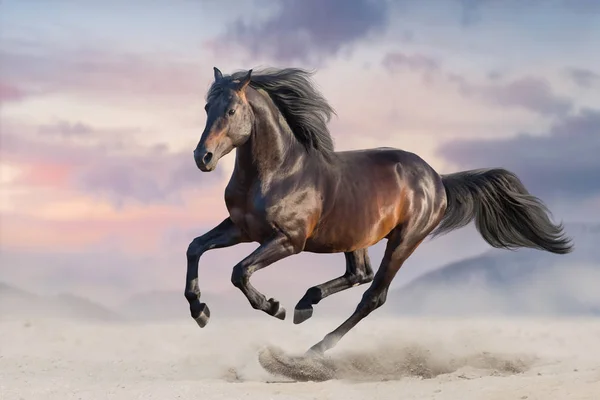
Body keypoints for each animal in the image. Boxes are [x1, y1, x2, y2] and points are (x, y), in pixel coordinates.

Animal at [184, 66, 572, 356]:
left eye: (231, 110)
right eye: (205, 109)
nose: (202, 157)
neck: (280, 171)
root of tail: (437, 178)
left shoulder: (288, 240)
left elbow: (239, 271)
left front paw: (273, 306)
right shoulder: (242, 229)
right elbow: (195, 247)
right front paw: (200, 311)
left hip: (403, 241)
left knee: (373, 294)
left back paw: (315, 347)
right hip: (355, 235)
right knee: (359, 274)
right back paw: (306, 304)